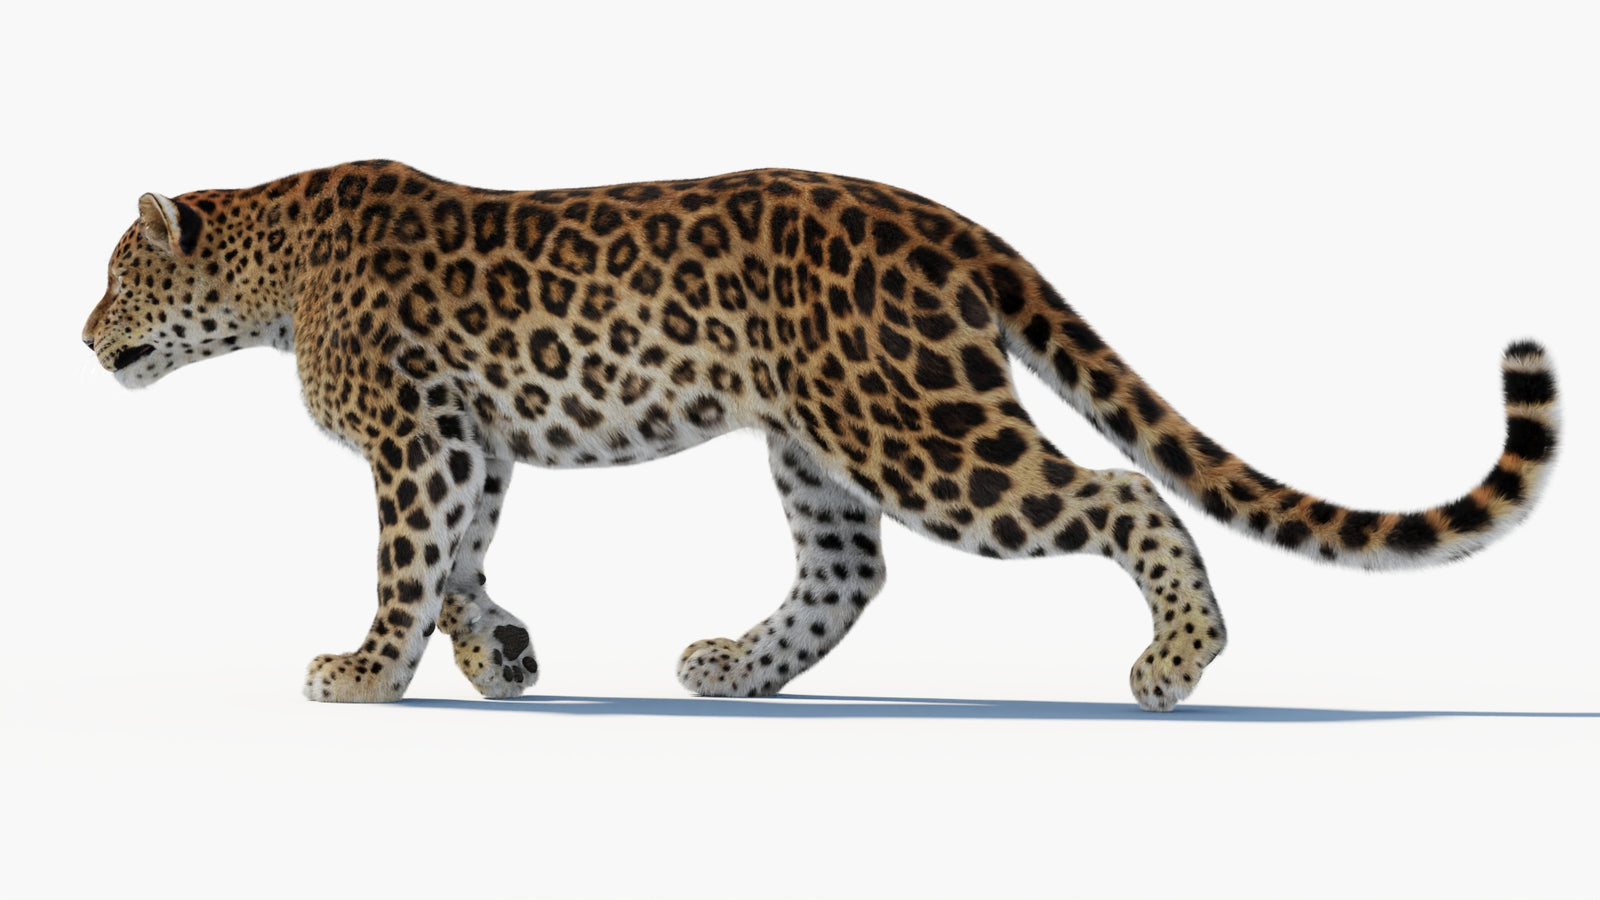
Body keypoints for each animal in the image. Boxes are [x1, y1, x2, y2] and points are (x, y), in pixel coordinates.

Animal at [82, 161, 1560, 711]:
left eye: (113, 276)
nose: (81, 337)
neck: (273, 265)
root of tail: (948, 221)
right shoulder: (468, 437)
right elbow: (458, 563)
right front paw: (501, 657)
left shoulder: (416, 431)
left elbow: (405, 564)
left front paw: (363, 672)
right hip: (819, 440)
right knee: (849, 570)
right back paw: (735, 667)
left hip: (919, 430)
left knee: (1119, 493)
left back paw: (1175, 661)